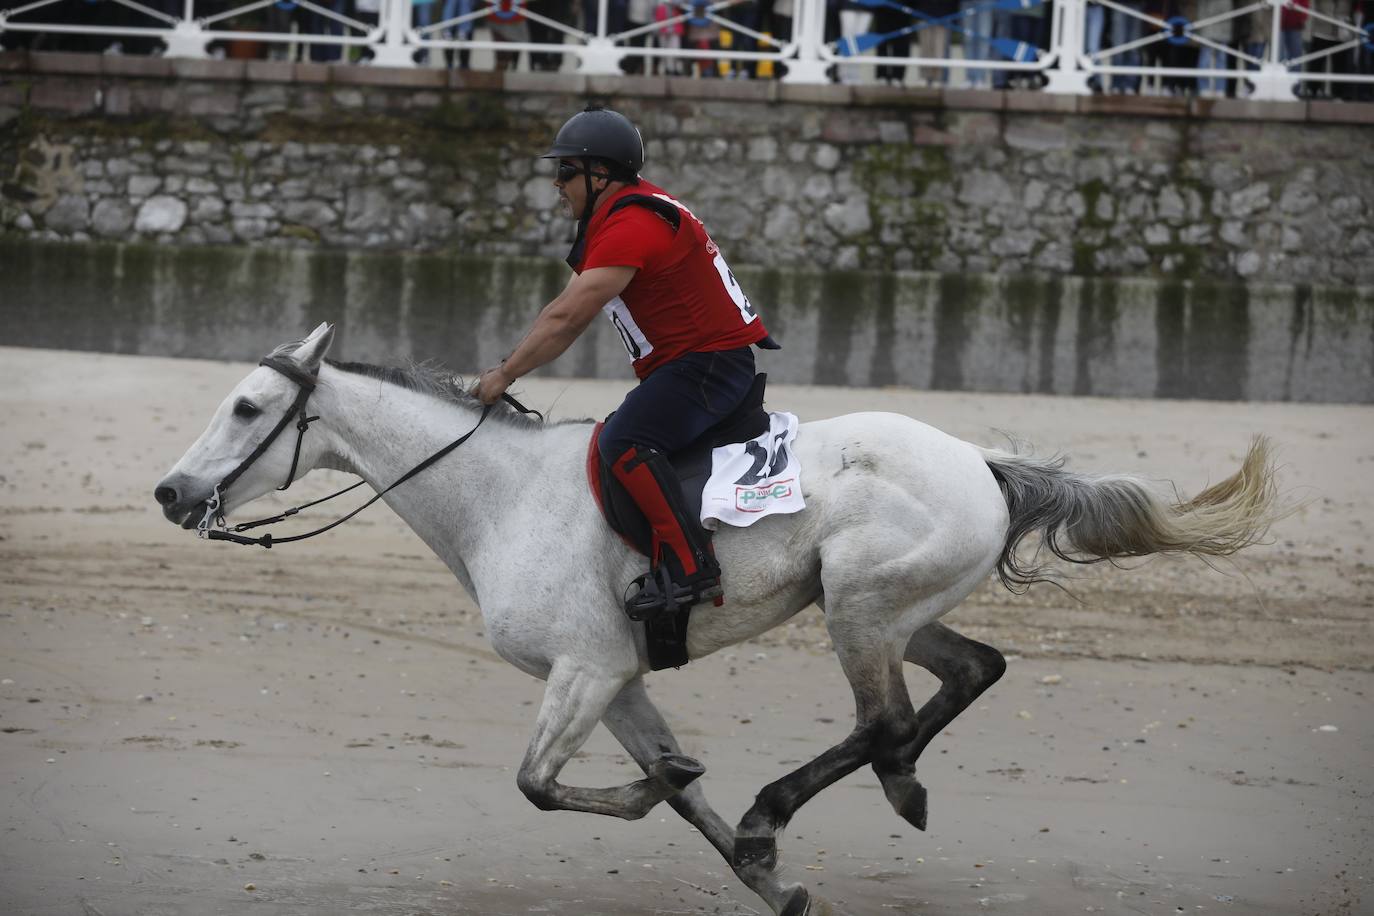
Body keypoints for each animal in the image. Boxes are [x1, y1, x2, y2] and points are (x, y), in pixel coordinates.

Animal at [155, 324, 1280, 916]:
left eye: (248, 409)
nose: (171, 492)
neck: (500, 495)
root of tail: (984, 462)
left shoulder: (585, 673)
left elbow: (541, 785)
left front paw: (720, 822)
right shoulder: (615, 684)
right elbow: (656, 782)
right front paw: (760, 876)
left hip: (860, 610)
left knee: (883, 717)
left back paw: (796, 802)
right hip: (888, 610)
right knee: (968, 673)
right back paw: (893, 786)